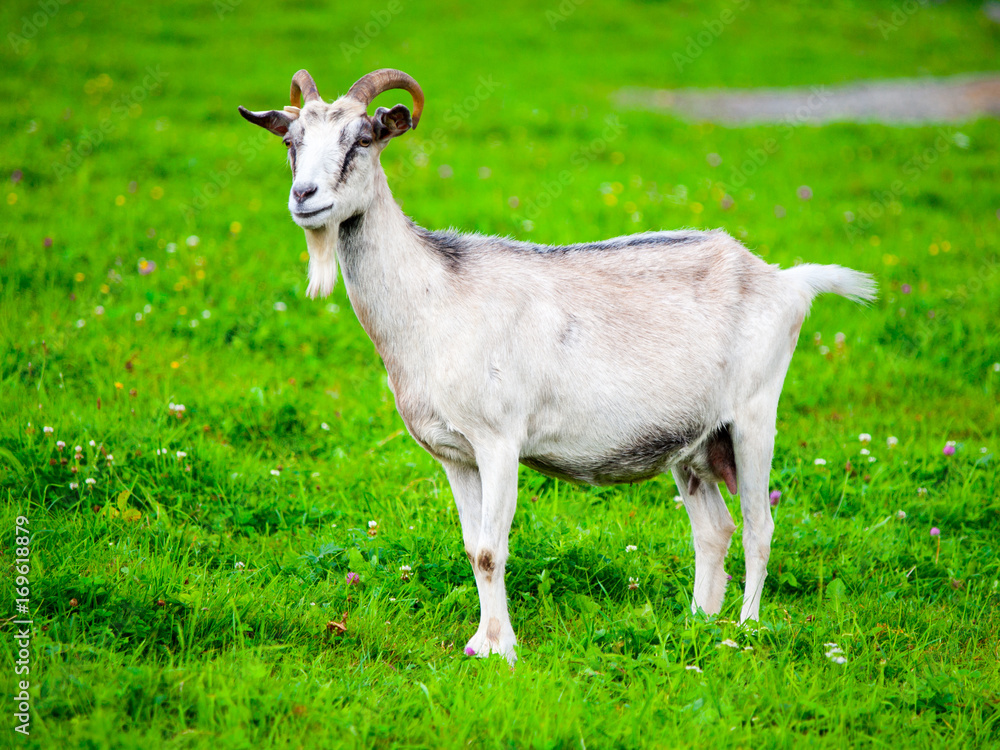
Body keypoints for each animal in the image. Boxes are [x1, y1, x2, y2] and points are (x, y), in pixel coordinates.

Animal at [239, 69, 876, 665]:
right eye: (291, 140)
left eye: (363, 139)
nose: (305, 195)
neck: (434, 298)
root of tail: (786, 280)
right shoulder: (454, 454)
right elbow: (472, 546)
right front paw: (480, 643)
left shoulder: (498, 441)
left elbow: (491, 549)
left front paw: (503, 651)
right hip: (694, 444)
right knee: (714, 529)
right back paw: (698, 621)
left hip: (753, 418)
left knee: (759, 527)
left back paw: (743, 629)